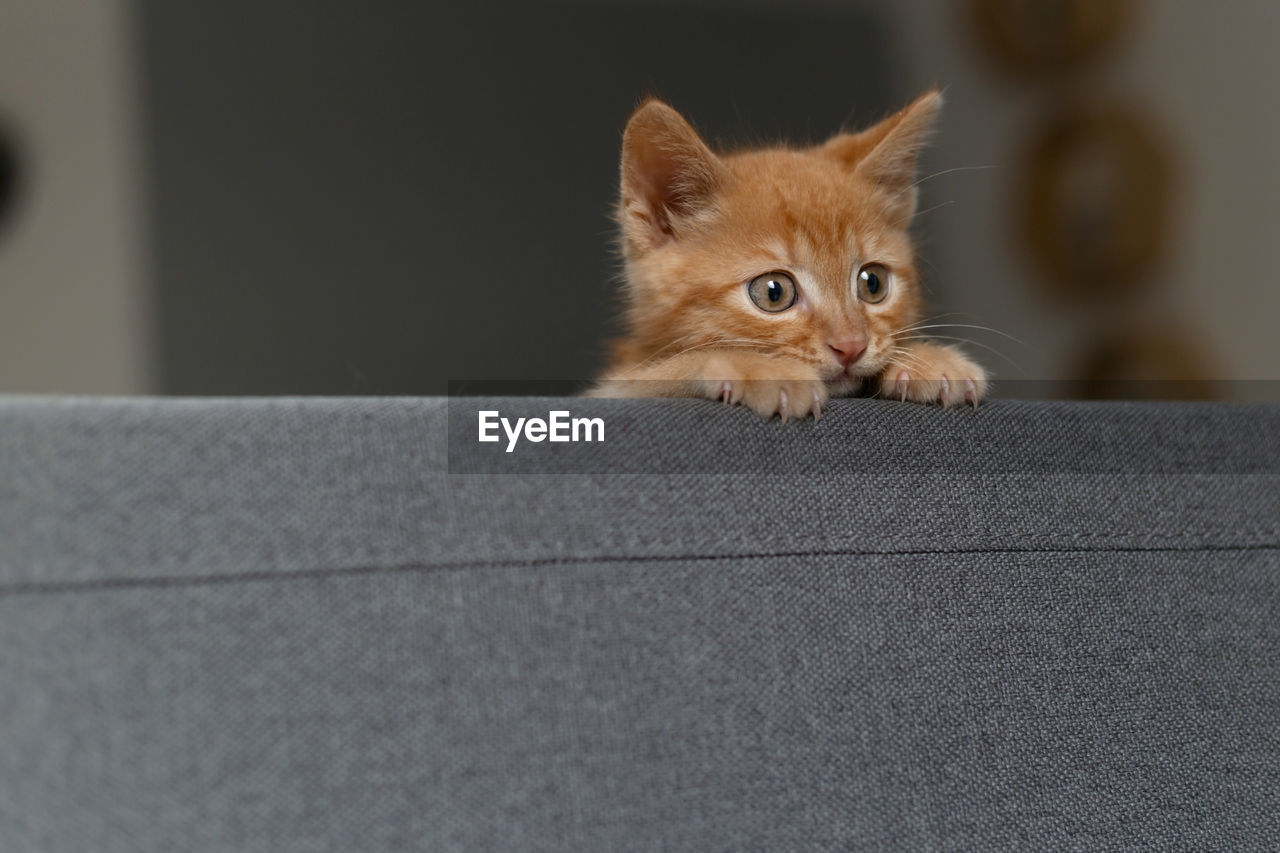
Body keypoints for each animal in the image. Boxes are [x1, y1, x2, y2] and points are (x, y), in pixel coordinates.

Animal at [588, 87, 988, 417]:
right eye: (773, 292)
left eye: (873, 283)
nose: (850, 347)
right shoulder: (611, 390)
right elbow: (665, 369)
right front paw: (761, 369)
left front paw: (926, 357)